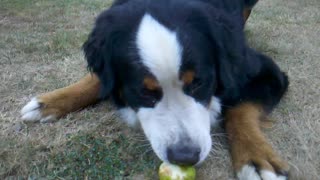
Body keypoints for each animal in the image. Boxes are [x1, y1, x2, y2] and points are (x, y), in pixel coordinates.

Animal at [20, 0, 290, 179]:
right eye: (144, 92)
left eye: (199, 83)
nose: (185, 156)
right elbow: (100, 79)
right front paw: (51, 101)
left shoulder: (265, 70)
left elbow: (241, 110)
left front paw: (255, 158)